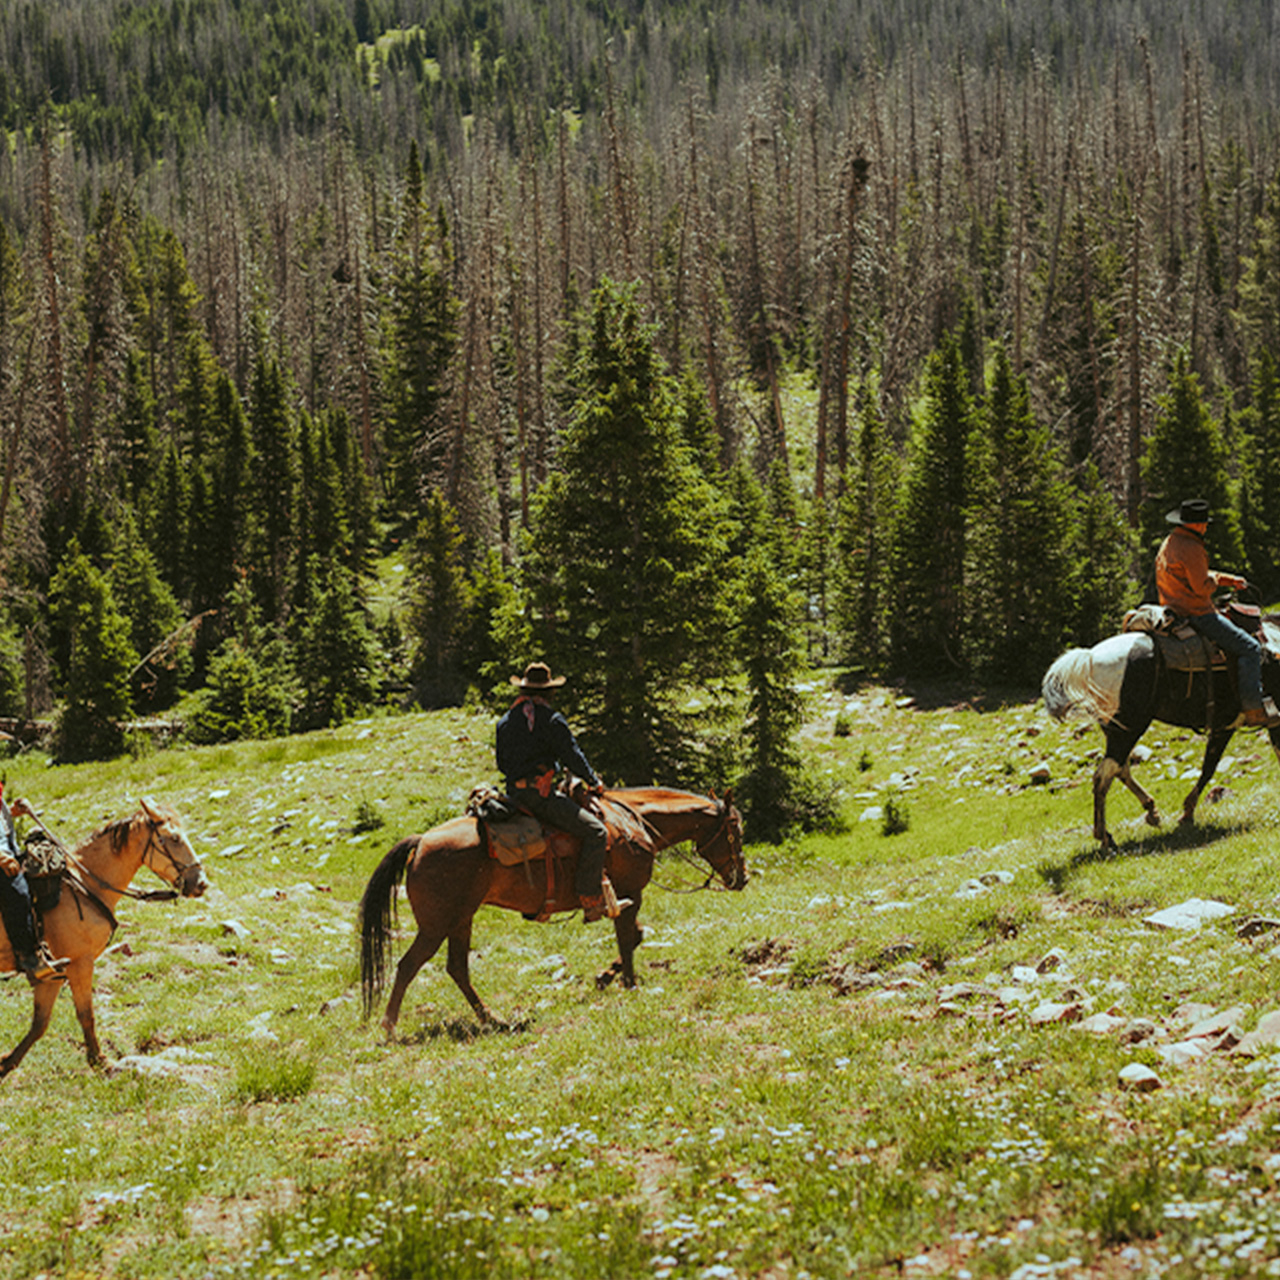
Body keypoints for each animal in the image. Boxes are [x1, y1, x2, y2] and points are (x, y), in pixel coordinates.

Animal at [0, 798, 209, 1076]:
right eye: (173, 838)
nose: (201, 883)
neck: (86, 883)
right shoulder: (79, 964)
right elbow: (85, 1014)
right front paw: (99, 1060)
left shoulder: (53, 974)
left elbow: (39, 1024)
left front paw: (6, 1062)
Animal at [358, 787, 747, 1036]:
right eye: (735, 830)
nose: (741, 878)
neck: (634, 824)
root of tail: (420, 841)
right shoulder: (629, 894)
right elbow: (628, 938)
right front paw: (628, 983)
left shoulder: (625, 897)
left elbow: (634, 936)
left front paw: (606, 977)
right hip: (436, 925)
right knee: (409, 965)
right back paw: (389, 1026)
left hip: (461, 920)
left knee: (456, 968)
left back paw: (493, 1019)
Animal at [1042, 618, 1280, 852]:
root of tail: (1089, 658)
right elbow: (1211, 768)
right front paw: (1187, 813)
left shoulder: (1225, 726)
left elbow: (1209, 767)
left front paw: (1187, 813)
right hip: (1130, 728)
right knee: (1104, 775)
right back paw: (1105, 836)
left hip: (1117, 730)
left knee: (1119, 768)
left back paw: (1150, 811)